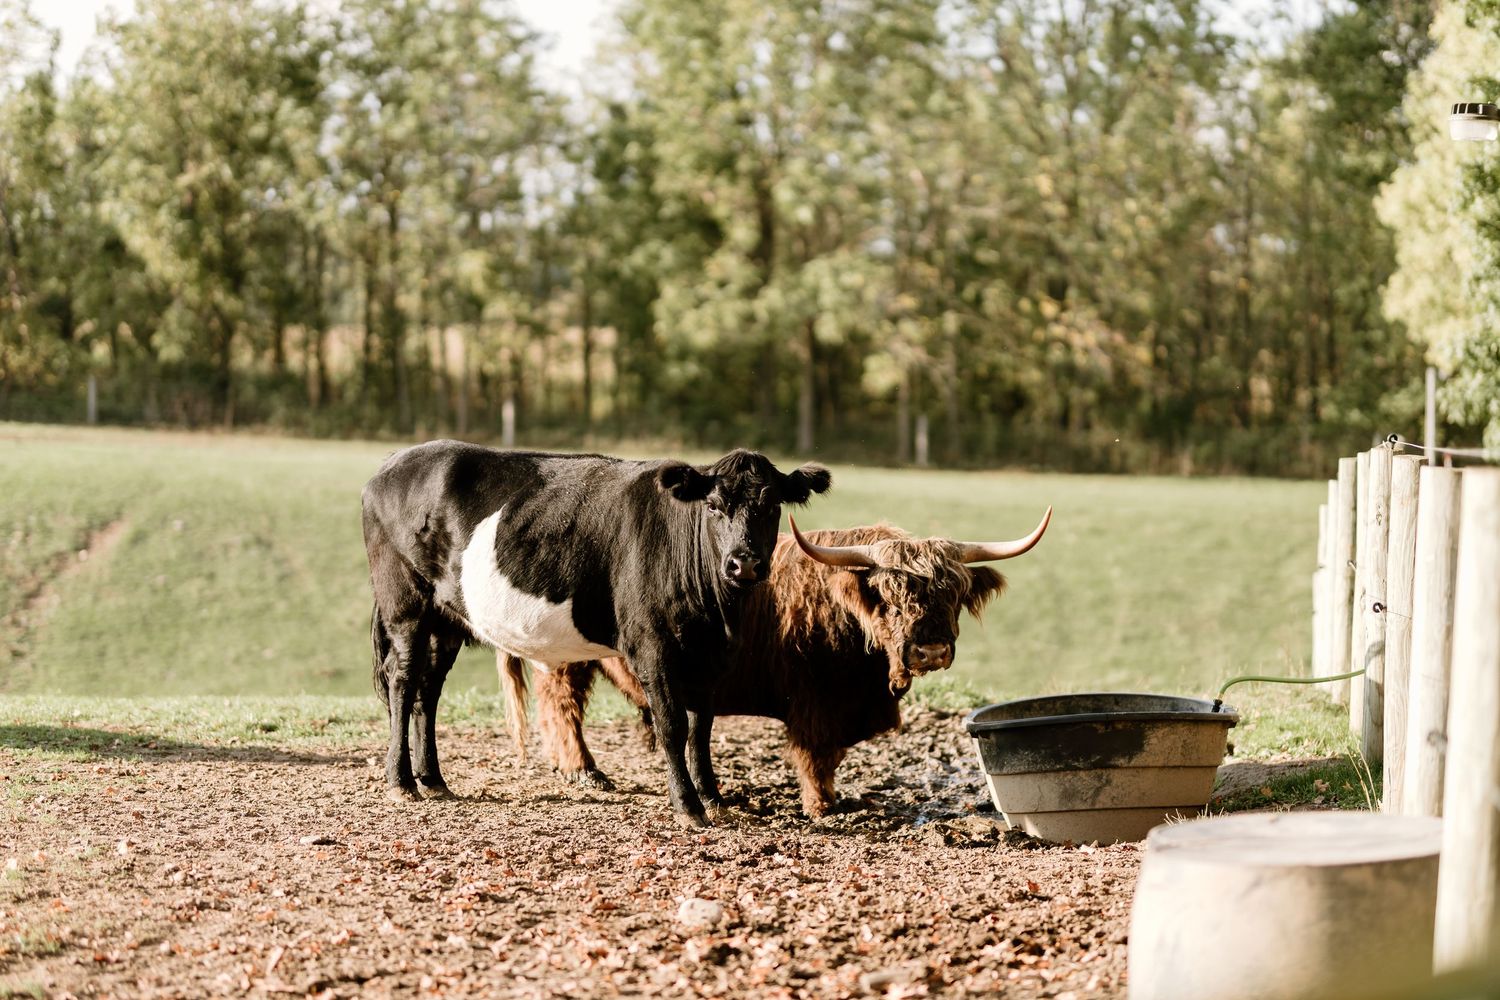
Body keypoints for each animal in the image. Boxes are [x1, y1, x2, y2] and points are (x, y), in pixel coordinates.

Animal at [360, 441, 831, 827]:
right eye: (714, 505)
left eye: (772, 505)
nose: (744, 562)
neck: (718, 613)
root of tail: (393, 463)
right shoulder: (652, 646)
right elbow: (673, 725)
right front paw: (688, 806)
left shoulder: (711, 655)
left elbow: (701, 730)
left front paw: (714, 798)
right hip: (405, 601)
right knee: (404, 680)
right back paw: (402, 781)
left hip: (447, 620)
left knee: (429, 689)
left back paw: (434, 780)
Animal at [503, 508, 1051, 818]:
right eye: (889, 595)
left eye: (954, 593)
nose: (931, 649)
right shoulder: (815, 701)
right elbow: (814, 756)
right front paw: (822, 807)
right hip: (563, 654)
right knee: (561, 704)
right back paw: (584, 771)